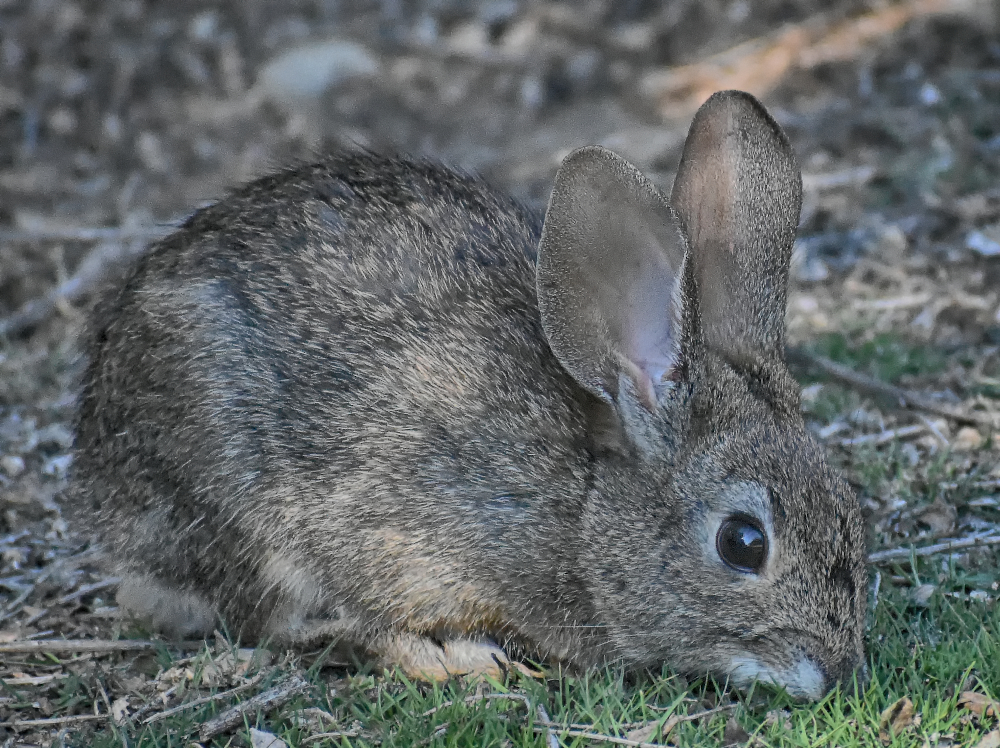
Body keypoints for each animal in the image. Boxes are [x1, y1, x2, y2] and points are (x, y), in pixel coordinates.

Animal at [72, 89, 867, 699]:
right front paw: (458, 660)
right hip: (229, 492)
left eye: (847, 509)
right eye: (743, 543)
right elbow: (373, 620)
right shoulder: (386, 533)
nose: (835, 671)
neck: (583, 506)